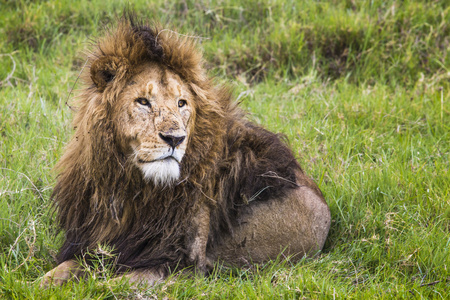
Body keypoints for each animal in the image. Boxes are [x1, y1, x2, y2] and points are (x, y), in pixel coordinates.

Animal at [42, 15, 330, 288]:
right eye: (143, 102)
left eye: (181, 103)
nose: (175, 138)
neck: (129, 188)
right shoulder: (95, 244)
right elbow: (59, 271)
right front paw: (43, 283)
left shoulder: (183, 264)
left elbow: (112, 285)